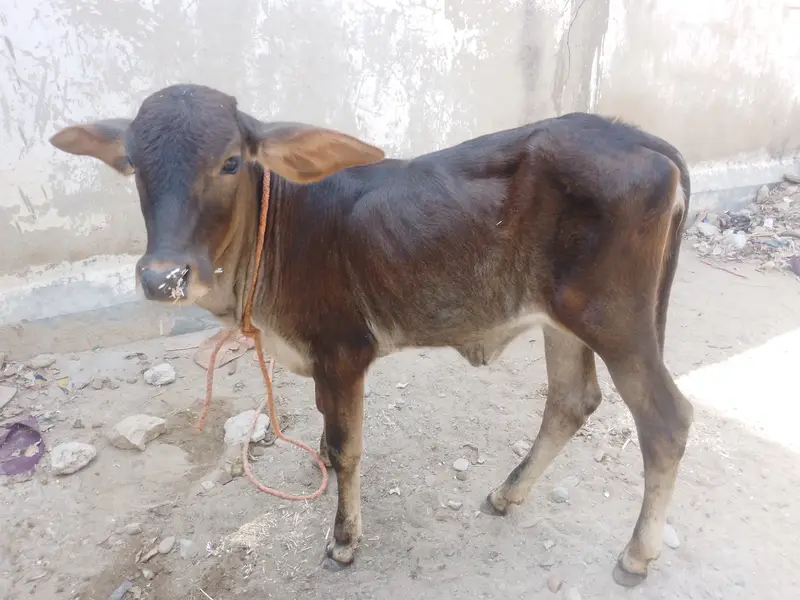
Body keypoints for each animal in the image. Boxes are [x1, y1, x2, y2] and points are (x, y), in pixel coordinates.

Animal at [50, 83, 693, 587]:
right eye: (133, 164)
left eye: (231, 162)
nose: (164, 278)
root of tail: (640, 140)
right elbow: (329, 440)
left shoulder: (343, 351)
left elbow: (346, 448)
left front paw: (343, 541)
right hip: (563, 321)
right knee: (570, 400)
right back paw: (507, 494)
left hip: (617, 321)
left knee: (667, 419)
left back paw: (635, 556)